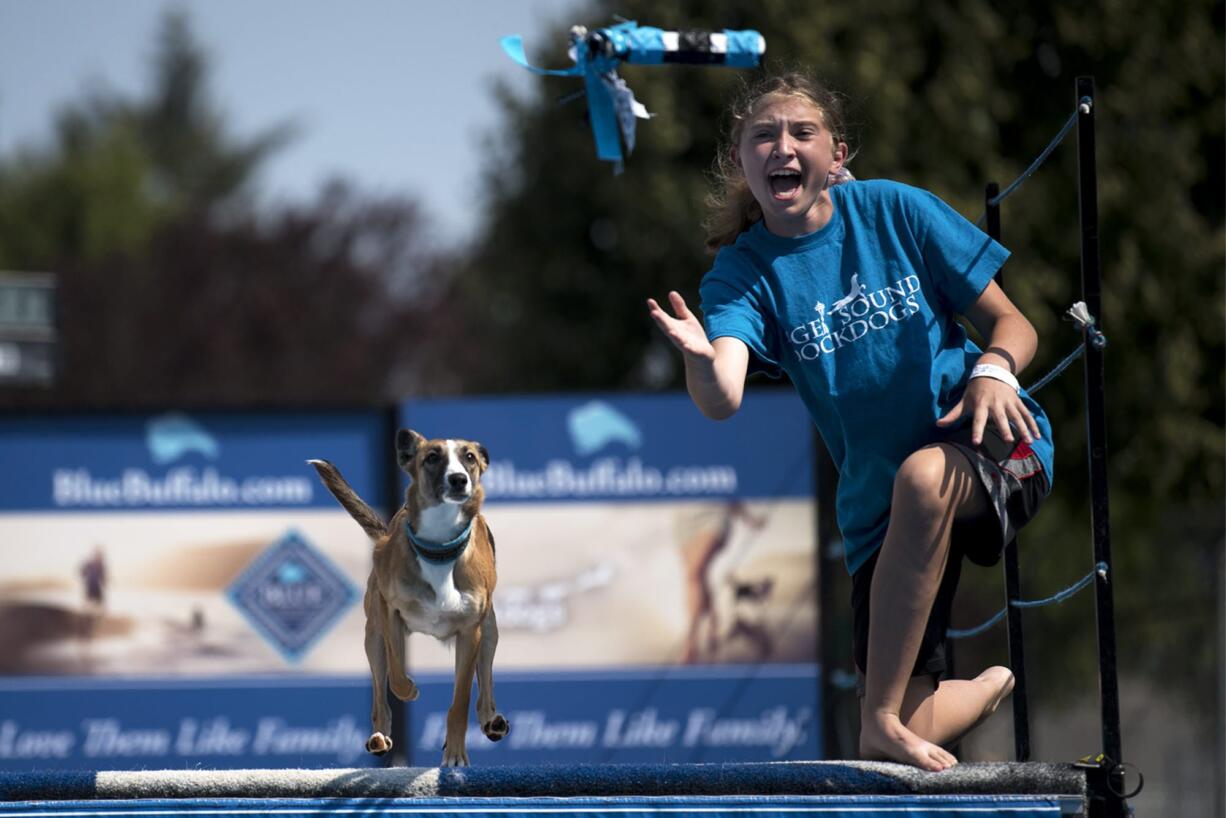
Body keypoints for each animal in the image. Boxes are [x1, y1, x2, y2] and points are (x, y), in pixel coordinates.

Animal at [316, 429, 512, 770]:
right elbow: (395, 676)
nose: (458, 479)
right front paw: (409, 690)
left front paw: (455, 754)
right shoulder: (389, 612)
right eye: (432, 457)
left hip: (489, 630)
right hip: (373, 635)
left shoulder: (470, 633)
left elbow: (460, 701)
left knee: (485, 685)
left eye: (469, 457)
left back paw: (492, 721)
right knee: (380, 696)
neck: (439, 548)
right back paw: (380, 736)